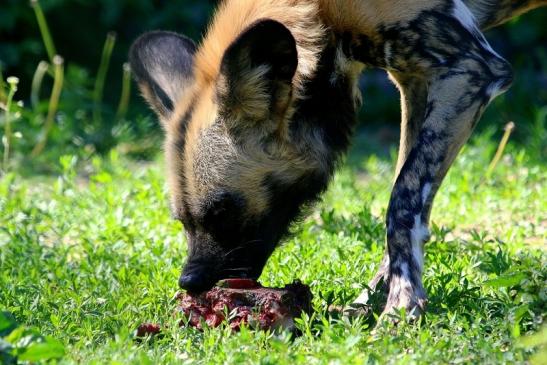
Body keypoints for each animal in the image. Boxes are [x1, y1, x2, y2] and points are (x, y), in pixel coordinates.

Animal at [130, 0, 547, 318]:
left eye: (223, 211)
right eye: (182, 220)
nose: (189, 282)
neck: (321, 13)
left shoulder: (467, 70)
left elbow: (400, 205)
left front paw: (400, 309)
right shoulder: (415, 81)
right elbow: (412, 209)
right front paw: (375, 301)